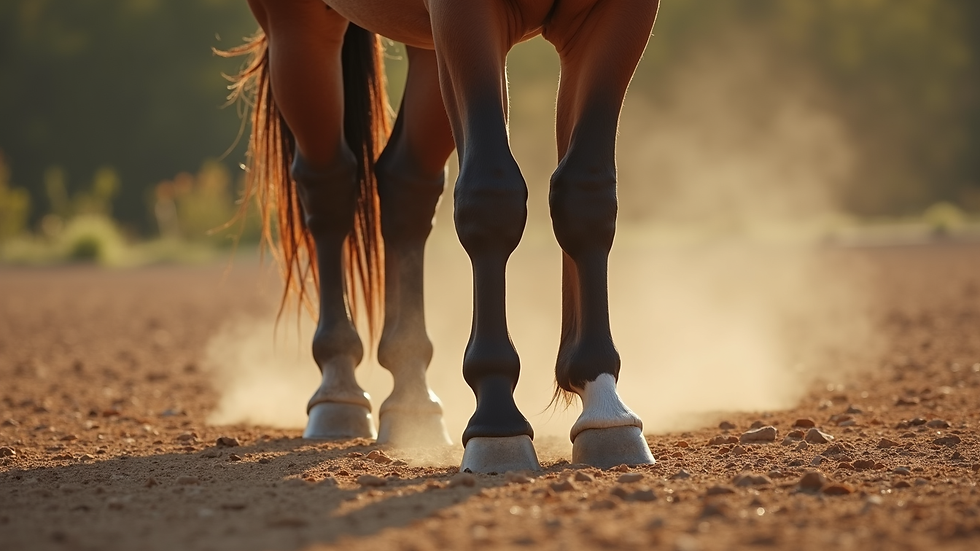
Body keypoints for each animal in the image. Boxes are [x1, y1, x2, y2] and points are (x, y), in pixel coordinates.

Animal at [223, 0, 660, 472]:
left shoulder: (616, 17)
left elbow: (585, 194)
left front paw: (605, 406)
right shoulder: (464, 16)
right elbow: (491, 195)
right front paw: (497, 420)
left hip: (426, 48)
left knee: (405, 183)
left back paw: (412, 395)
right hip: (298, 24)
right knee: (330, 186)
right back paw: (338, 387)